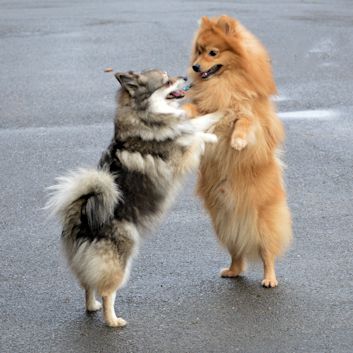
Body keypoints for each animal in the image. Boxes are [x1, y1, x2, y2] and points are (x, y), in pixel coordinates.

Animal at [45, 69, 219, 328]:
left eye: (170, 75)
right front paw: (213, 134)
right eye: (166, 81)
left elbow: (196, 124)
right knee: (107, 292)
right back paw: (113, 321)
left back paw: (92, 306)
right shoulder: (180, 156)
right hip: (121, 261)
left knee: (87, 286)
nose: (185, 78)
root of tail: (83, 219)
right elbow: (195, 135)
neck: (145, 115)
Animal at [184, 15, 292, 288]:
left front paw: (238, 142)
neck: (224, 83)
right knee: (238, 253)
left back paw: (269, 278)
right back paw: (232, 270)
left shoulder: (252, 116)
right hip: (224, 225)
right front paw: (183, 111)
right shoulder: (206, 108)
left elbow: (244, 120)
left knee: (267, 253)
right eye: (198, 51)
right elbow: (195, 108)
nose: (196, 67)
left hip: (262, 222)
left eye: (213, 53)